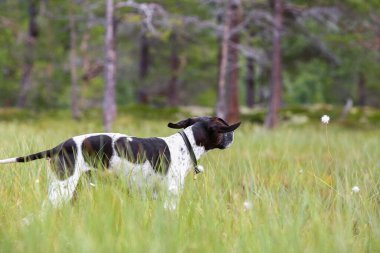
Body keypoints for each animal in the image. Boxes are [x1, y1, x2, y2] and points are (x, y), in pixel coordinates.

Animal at [0, 116, 240, 210]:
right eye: (223, 126)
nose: (232, 137)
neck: (185, 144)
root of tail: (59, 146)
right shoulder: (169, 199)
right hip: (62, 189)